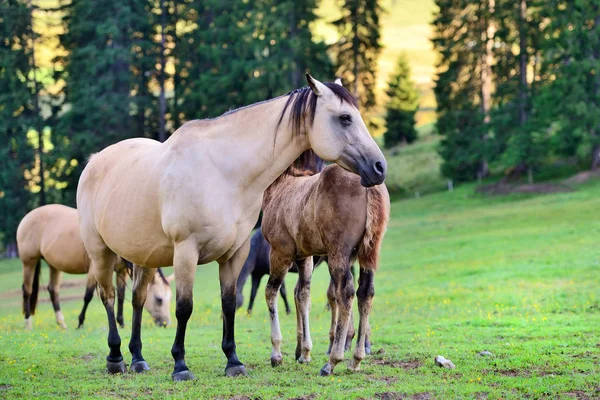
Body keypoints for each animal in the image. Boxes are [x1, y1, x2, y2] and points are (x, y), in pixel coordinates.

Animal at [15, 205, 173, 330]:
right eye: (159, 299)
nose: (166, 324)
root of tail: (28, 216)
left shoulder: (122, 270)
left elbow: (121, 295)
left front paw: (121, 323)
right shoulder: (94, 270)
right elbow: (88, 295)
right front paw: (80, 323)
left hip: (54, 265)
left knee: (53, 290)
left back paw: (62, 323)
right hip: (29, 262)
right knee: (27, 290)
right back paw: (28, 324)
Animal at [262, 149, 390, 376]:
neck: (280, 185)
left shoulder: (280, 252)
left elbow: (271, 292)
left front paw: (276, 354)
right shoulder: (305, 257)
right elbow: (303, 296)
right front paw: (304, 353)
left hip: (339, 252)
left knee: (346, 294)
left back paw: (333, 360)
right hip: (368, 252)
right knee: (365, 292)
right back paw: (356, 359)